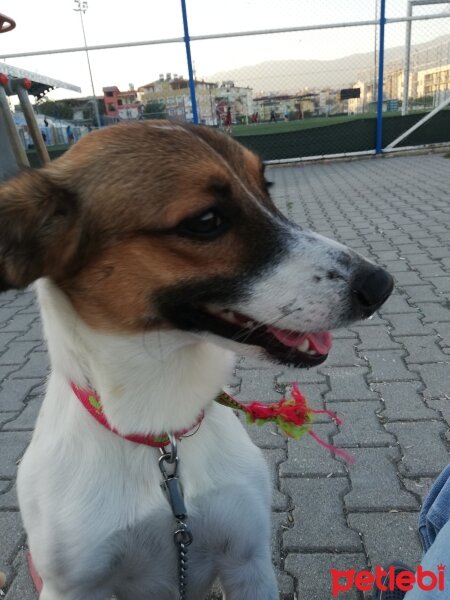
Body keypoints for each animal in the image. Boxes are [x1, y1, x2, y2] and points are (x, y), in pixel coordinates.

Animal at [0, 119, 394, 596]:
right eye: (206, 220)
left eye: (265, 187)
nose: (382, 285)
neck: (160, 429)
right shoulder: (72, 586)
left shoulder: (247, 561)